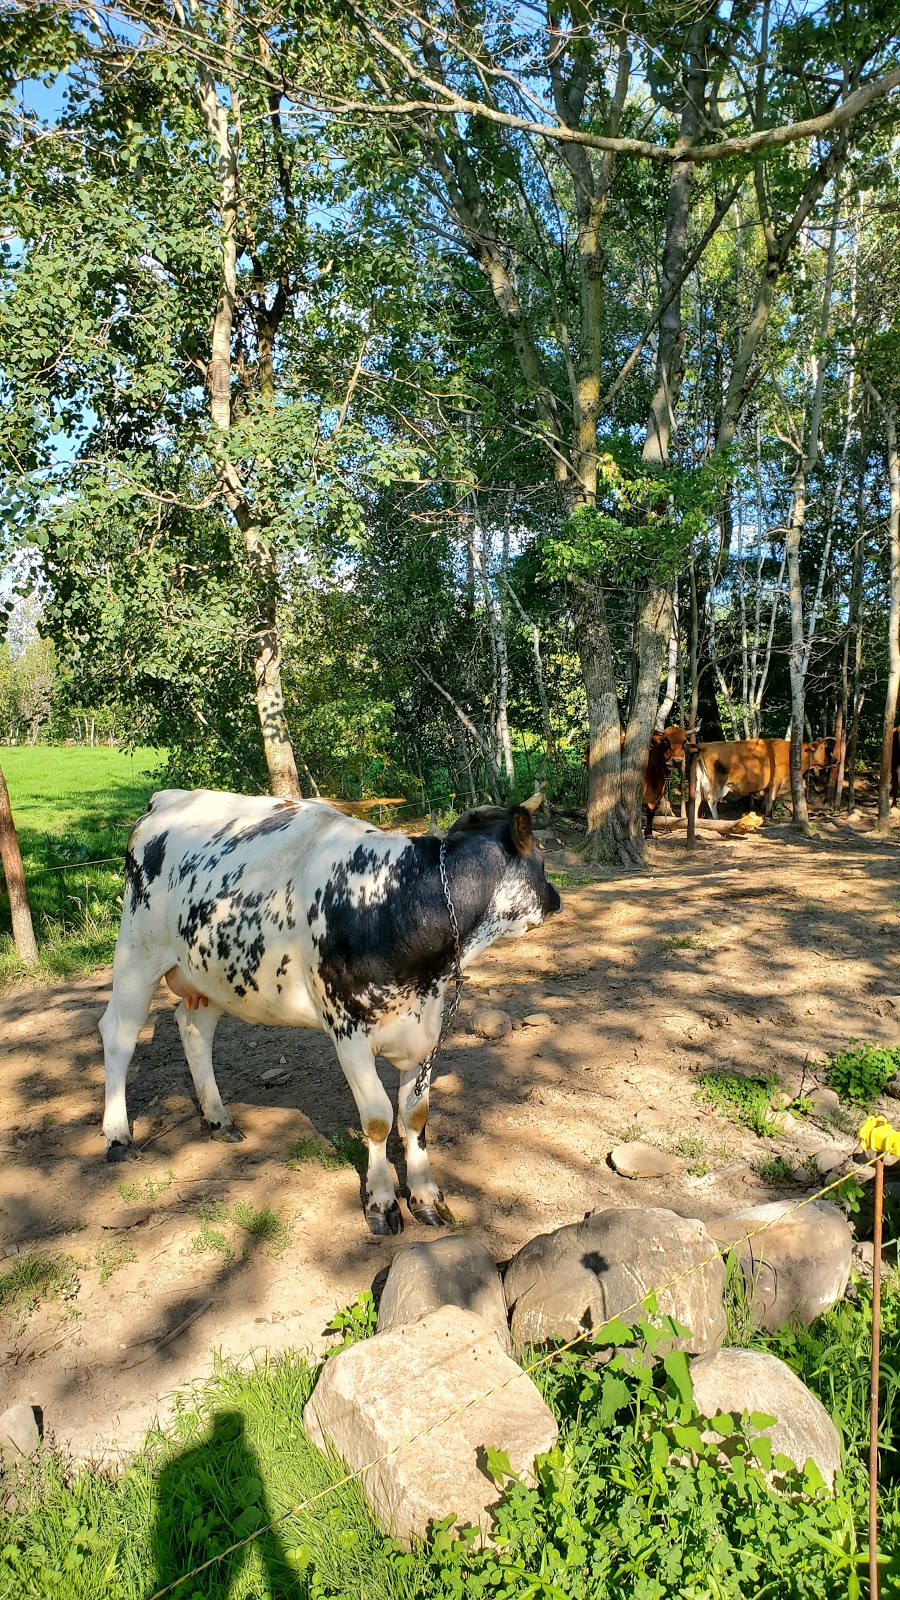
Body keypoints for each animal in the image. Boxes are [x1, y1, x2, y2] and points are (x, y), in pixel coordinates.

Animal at [101, 793, 557, 1228]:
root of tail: (163, 800)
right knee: (118, 1034)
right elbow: (377, 1118)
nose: (556, 898)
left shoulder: (427, 1030)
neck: (397, 904)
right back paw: (118, 1137)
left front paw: (427, 1197)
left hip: (212, 975)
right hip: (137, 955)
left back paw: (218, 1119)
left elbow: (415, 1114)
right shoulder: (348, 1033)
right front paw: (381, 1203)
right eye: (542, 855)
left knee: (193, 1029)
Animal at [695, 732, 826, 819]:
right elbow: (772, 799)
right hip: (717, 782)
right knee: (711, 798)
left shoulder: (768, 786)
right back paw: (716, 819)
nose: (830, 760)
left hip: (699, 781)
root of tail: (704, 747)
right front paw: (769, 815)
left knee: (697, 798)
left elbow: (767, 799)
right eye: (821, 748)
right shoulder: (776, 781)